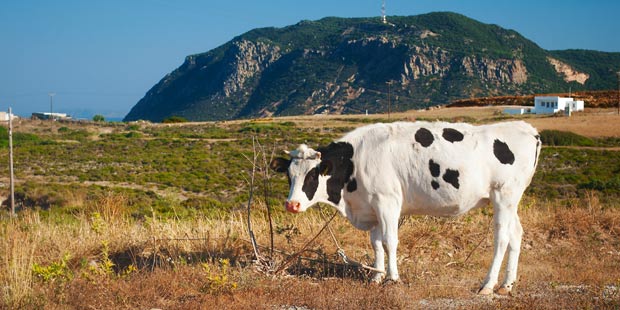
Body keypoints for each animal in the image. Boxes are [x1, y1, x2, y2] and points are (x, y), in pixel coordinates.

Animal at [268, 120, 540, 294]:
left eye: (313, 176)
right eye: (289, 175)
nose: (292, 204)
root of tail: (526, 129)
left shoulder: (387, 201)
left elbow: (390, 241)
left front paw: (392, 278)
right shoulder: (372, 206)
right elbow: (376, 243)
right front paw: (376, 277)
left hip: (503, 194)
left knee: (501, 237)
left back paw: (488, 285)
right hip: (510, 200)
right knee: (516, 234)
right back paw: (507, 285)